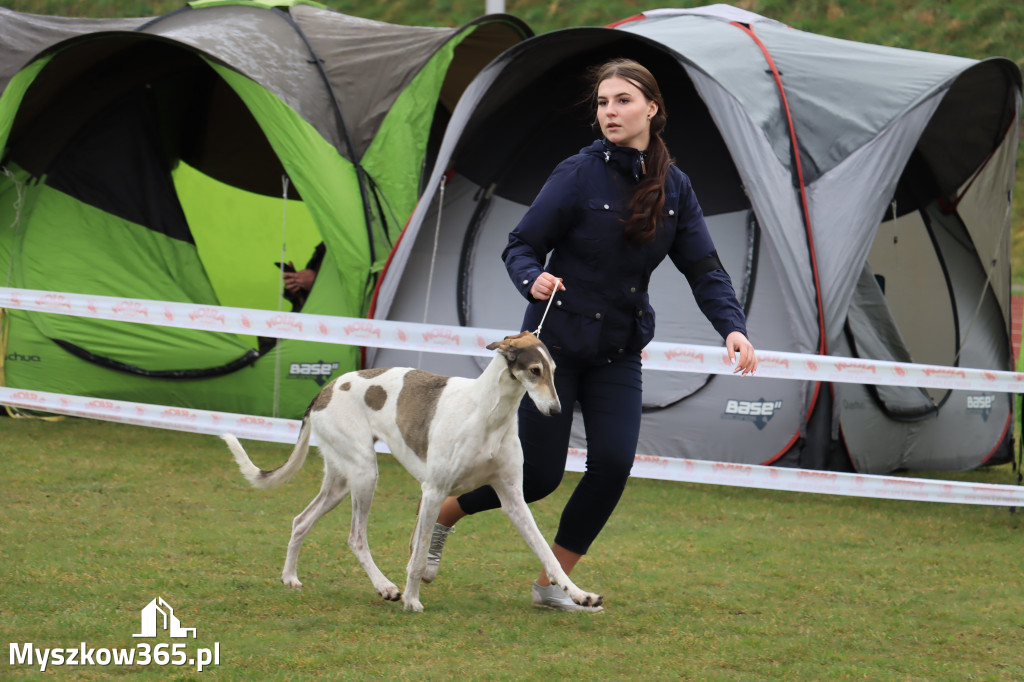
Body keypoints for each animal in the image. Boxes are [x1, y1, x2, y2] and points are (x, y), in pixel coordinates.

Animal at [221, 329, 602, 610]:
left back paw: (290, 577)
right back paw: (387, 587)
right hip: (365, 474)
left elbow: (547, 554)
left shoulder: (512, 499)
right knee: (356, 537)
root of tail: (327, 388)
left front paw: (579, 594)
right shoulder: (434, 491)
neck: (488, 412)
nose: (555, 411)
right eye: (534, 371)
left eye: (554, 371)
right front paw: (412, 600)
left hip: (341, 481)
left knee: (301, 520)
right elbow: (417, 559)